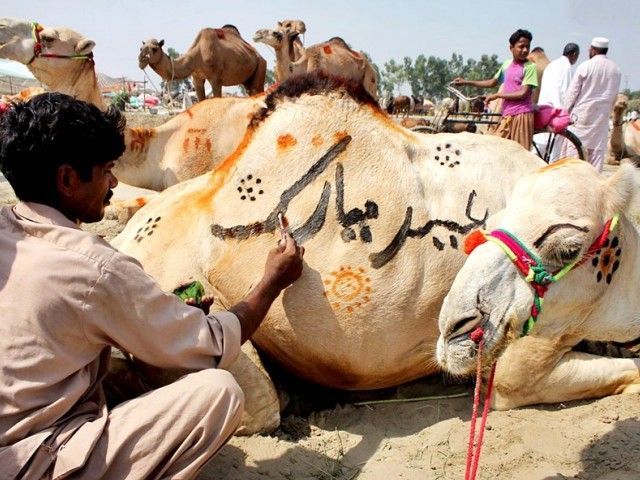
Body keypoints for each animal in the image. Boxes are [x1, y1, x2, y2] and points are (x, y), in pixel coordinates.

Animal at [140, 25, 268, 100]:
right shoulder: (197, 79)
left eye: (154, 49)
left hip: (261, 66)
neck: (198, 54)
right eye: (141, 48)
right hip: (247, 80)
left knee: (258, 90)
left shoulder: (216, 79)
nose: (141, 59)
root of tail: (259, 55)